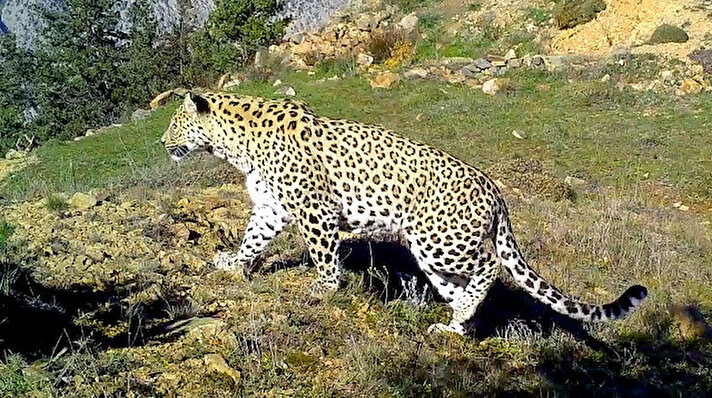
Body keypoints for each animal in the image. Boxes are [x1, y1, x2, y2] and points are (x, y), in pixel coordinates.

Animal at [164, 91, 648, 334]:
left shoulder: (315, 211)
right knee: (463, 288)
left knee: (490, 266)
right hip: (434, 255)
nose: (163, 142)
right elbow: (253, 237)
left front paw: (324, 288)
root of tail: (496, 192)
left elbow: (323, 255)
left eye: (173, 123)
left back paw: (462, 312)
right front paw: (233, 263)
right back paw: (455, 324)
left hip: (438, 240)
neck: (235, 144)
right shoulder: (273, 207)